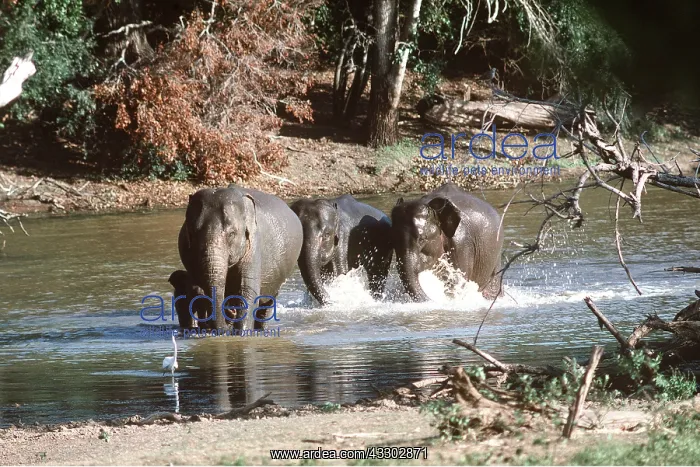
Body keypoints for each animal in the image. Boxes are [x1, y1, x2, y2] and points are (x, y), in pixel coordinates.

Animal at [178, 185, 303, 330]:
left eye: (232, 233)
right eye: (192, 233)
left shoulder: (254, 245)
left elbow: (247, 291)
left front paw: (242, 332)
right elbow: (199, 290)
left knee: (269, 301)